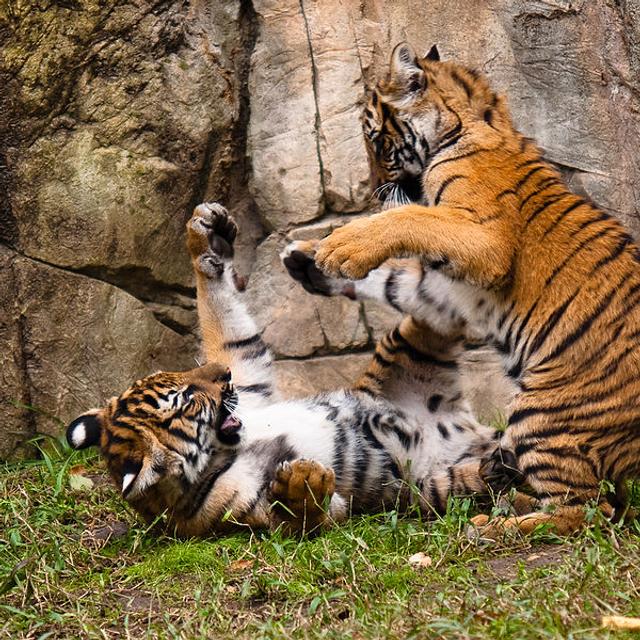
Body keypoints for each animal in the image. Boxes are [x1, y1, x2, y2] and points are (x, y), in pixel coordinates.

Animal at [65, 202, 505, 537]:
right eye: (188, 399)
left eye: (179, 378)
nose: (221, 376)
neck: (228, 446)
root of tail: (470, 429)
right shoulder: (246, 510)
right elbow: (305, 516)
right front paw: (301, 482)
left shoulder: (247, 375)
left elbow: (229, 331)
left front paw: (206, 238)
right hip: (428, 483)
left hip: (406, 346)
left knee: (436, 293)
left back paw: (313, 258)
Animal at [309, 42, 640, 537]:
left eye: (375, 139)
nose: (372, 191)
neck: (478, 118)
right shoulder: (450, 282)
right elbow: (403, 276)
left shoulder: (483, 241)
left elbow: (409, 217)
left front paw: (339, 247)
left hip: (542, 413)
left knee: (585, 511)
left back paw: (491, 526)